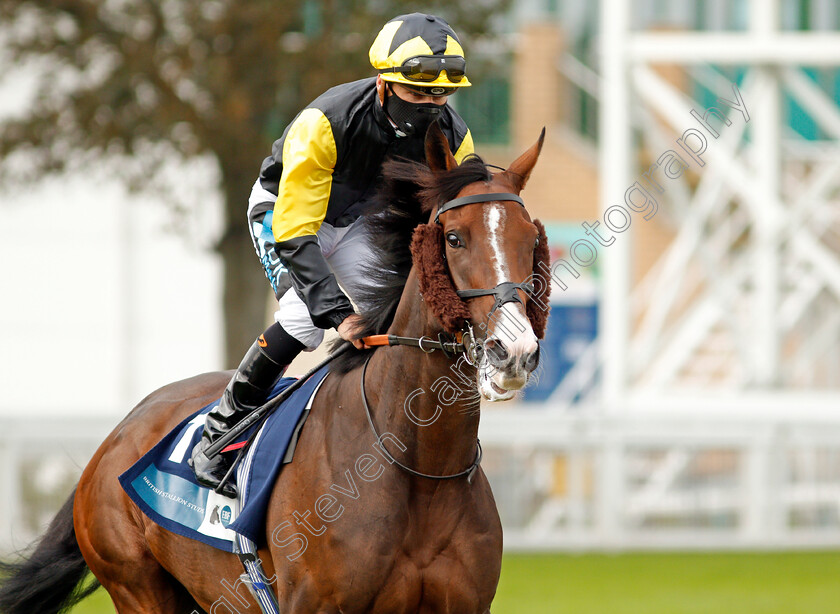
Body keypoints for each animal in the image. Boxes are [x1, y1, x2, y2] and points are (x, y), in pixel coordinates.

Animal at [0, 121, 548, 614]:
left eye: (530, 240)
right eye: (454, 238)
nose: (513, 350)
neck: (419, 469)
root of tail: (116, 434)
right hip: (137, 585)